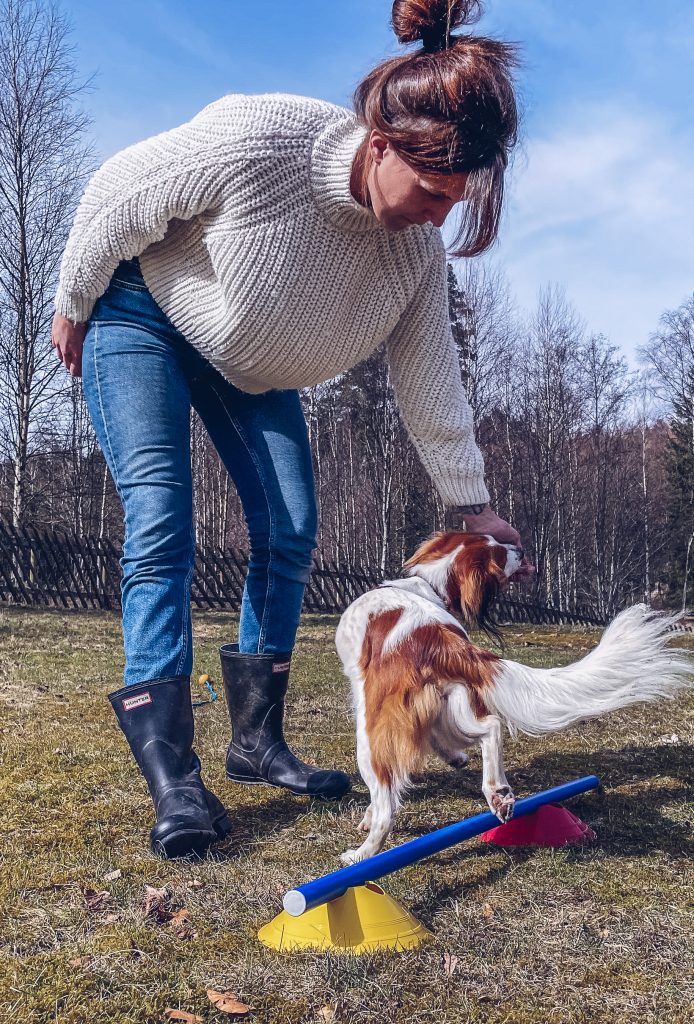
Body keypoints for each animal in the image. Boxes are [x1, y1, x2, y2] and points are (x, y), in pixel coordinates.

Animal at [335, 536, 691, 864]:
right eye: (496, 548)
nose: (520, 548)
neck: (426, 585)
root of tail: (435, 639)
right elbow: (442, 741)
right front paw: (455, 758)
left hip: (369, 741)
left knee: (386, 806)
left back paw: (362, 854)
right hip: (459, 704)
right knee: (491, 727)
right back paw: (498, 793)